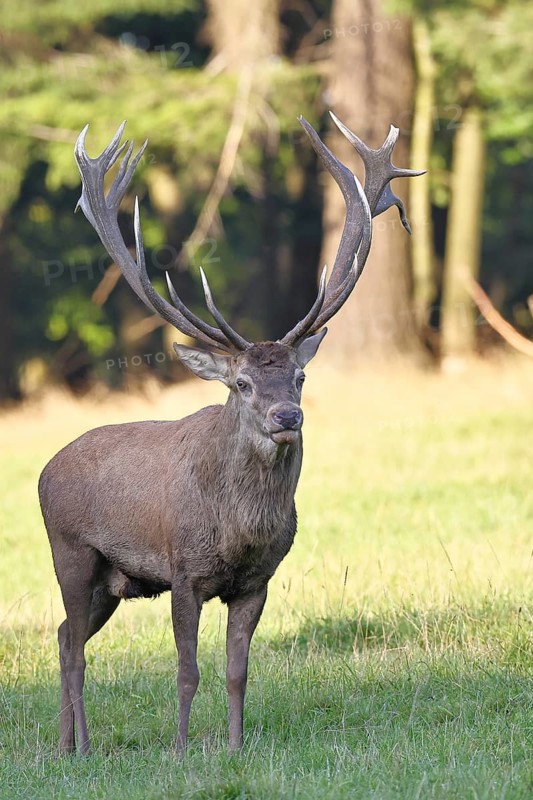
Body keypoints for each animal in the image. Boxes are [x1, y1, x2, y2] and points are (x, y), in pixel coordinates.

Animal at [38, 112, 421, 755]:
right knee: (72, 649)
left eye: (299, 375)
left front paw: (237, 747)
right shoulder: (183, 570)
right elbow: (187, 670)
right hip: (71, 550)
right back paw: (84, 747)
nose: (286, 417)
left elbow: (237, 669)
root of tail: (44, 470)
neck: (239, 530)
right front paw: (179, 750)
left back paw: (66, 745)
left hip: (112, 581)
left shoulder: (256, 581)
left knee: (68, 632)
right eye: (242, 383)